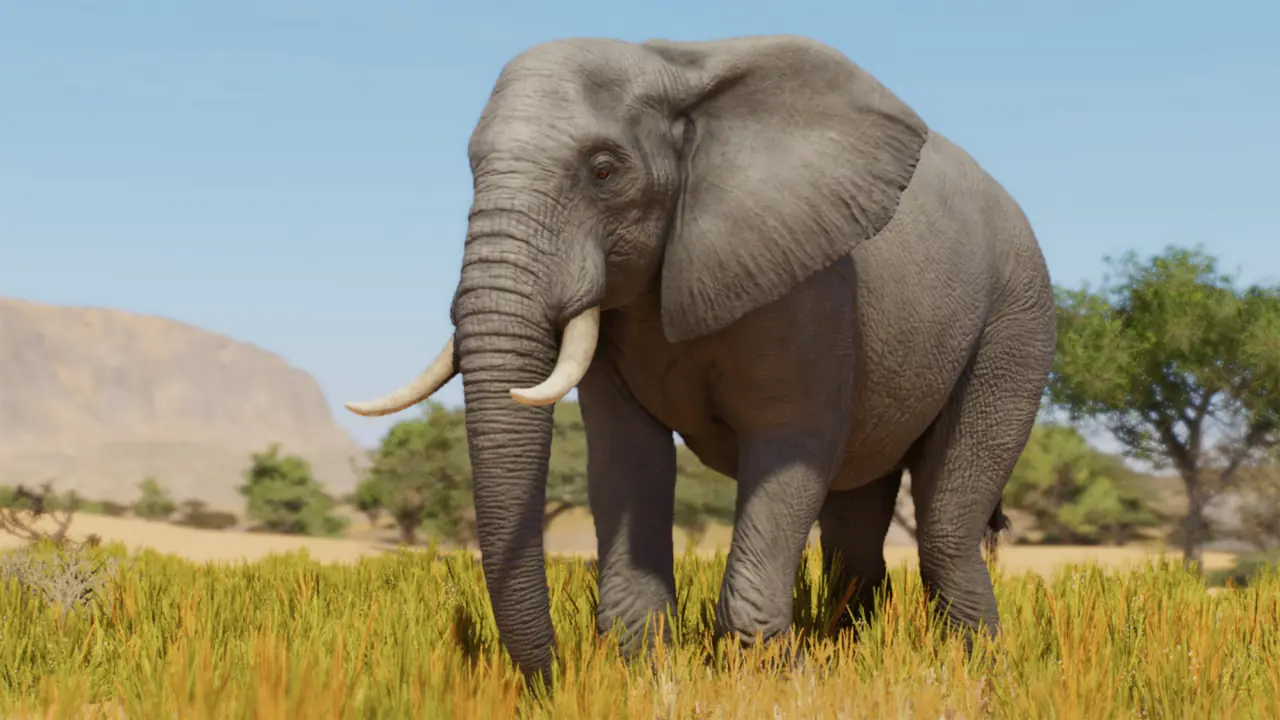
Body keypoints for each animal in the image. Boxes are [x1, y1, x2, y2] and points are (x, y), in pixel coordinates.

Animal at [345, 34, 1057, 682]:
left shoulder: (810, 286)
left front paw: (771, 683)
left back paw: (975, 671)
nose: (555, 679)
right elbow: (627, 458)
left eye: (603, 170)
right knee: (854, 531)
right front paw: (642, 674)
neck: (676, 73)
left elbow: (790, 446)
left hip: (1016, 323)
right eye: (471, 168)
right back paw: (854, 658)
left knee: (945, 523)